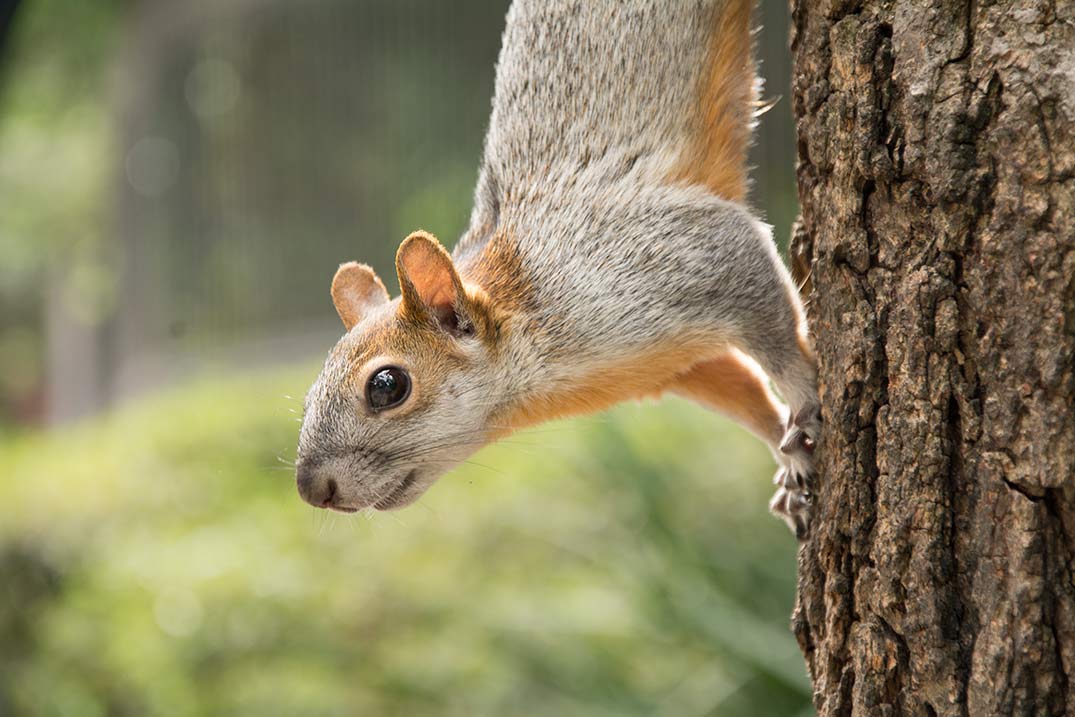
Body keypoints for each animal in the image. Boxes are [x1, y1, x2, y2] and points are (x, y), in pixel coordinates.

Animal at [296, 0, 821, 537]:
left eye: (387, 386)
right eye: (313, 387)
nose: (312, 489)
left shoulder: (684, 257)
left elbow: (776, 338)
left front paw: (805, 403)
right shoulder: (680, 363)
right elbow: (744, 392)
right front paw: (786, 457)